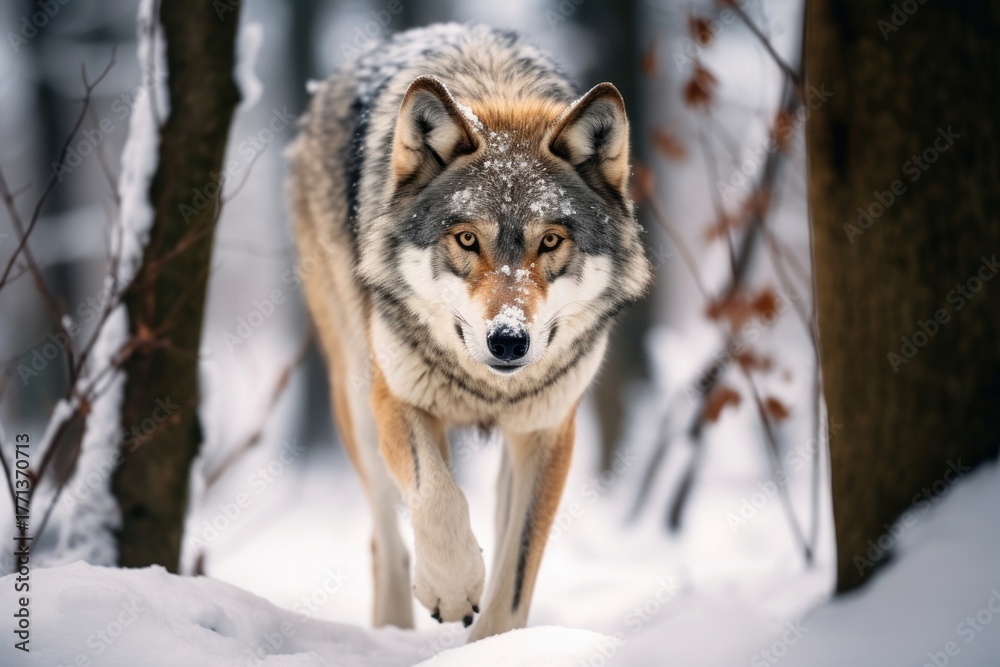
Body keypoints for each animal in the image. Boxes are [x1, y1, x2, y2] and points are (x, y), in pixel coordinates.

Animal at [287, 23, 650, 641]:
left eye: (550, 241)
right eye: (466, 239)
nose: (508, 340)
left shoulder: (549, 430)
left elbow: (517, 571)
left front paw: (493, 643)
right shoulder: (397, 397)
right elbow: (437, 495)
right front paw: (453, 587)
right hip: (354, 397)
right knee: (386, 538)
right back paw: (395, 628)